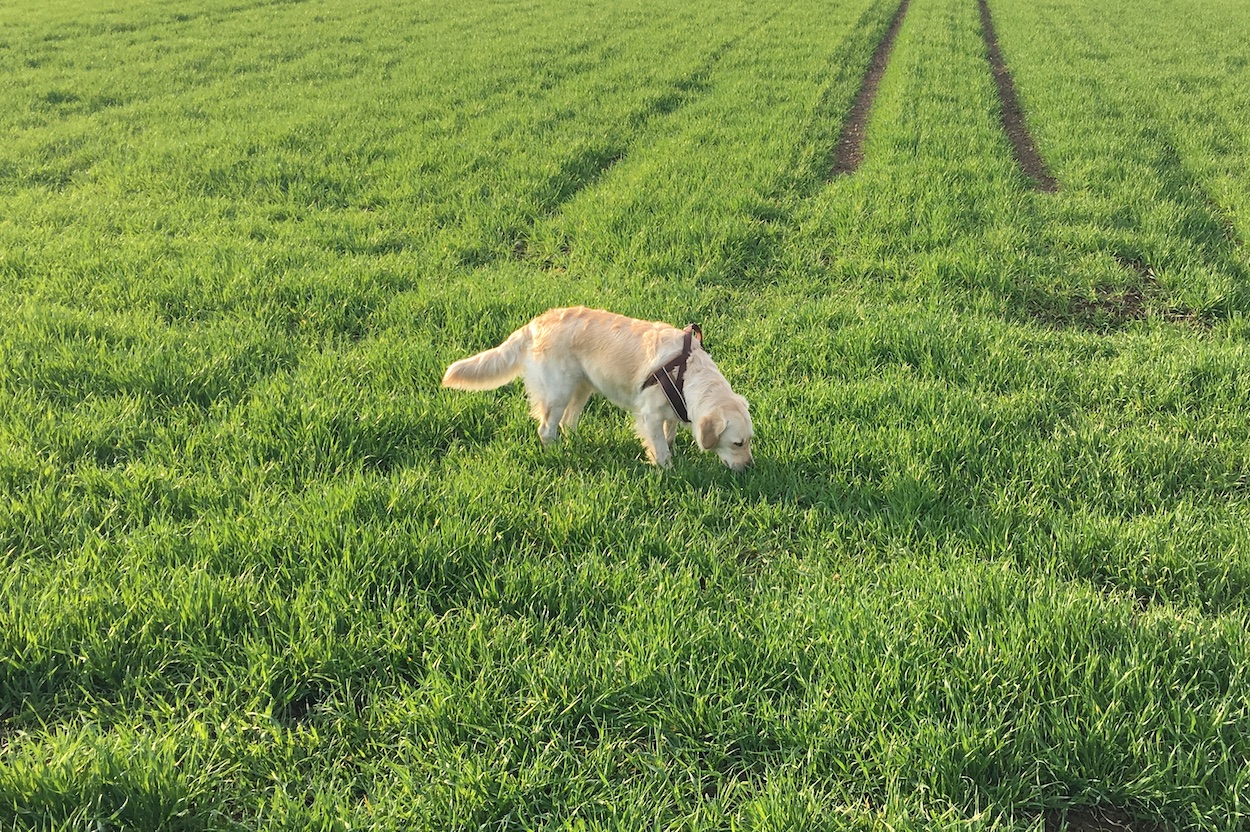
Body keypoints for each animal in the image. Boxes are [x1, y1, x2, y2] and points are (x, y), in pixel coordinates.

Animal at [440, 307, 750, 469]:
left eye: (750, 440)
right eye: (738, 443)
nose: (749, 467)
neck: (686, 371)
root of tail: (535, 323)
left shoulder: (671, 409)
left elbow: (669, 434)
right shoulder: (649, 414)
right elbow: (660, 448)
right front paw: (668, 469)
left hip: (583, 387)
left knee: (568, 423)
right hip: (559, 391)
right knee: (547, 428)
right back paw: (556, 453)